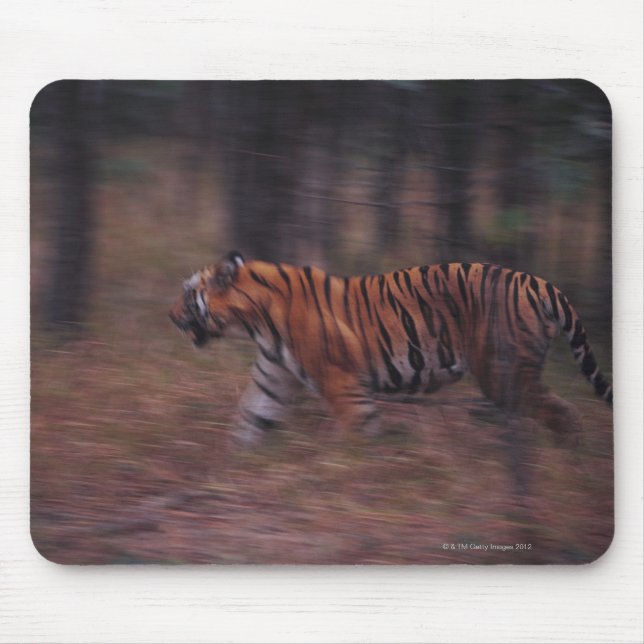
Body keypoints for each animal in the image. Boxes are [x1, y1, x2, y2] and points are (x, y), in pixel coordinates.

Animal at [169, 251, 612, 447]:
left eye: (189, 294)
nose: (170, 315)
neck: (255, 323)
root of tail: (541, 283)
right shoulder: (272, 379)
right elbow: (248, 421)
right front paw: (225, 470)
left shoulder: (342, 383)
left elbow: (359, 430)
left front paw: (354, 470)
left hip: (504, 374)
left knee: (562, 411)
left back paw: (569, 456)